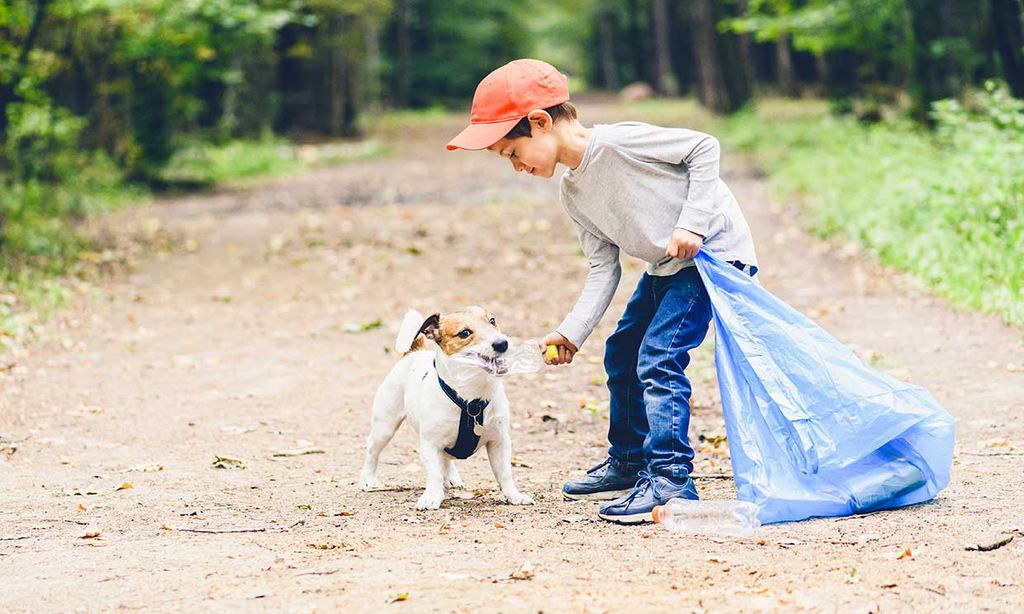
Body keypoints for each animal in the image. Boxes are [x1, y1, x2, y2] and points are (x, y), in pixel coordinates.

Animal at [360, 304, 536, 511]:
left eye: (492, 321)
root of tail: (414, 352)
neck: (472, 400)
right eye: (465, 333)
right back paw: (369, 479)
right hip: (385, 427)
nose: (502, 343)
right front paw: (432, 497)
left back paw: (451, 477)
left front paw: (514, 495)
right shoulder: (430, 444)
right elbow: (434, 474)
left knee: (445, 458)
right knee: (373, 451)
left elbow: (505, 473)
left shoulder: (499, 441)